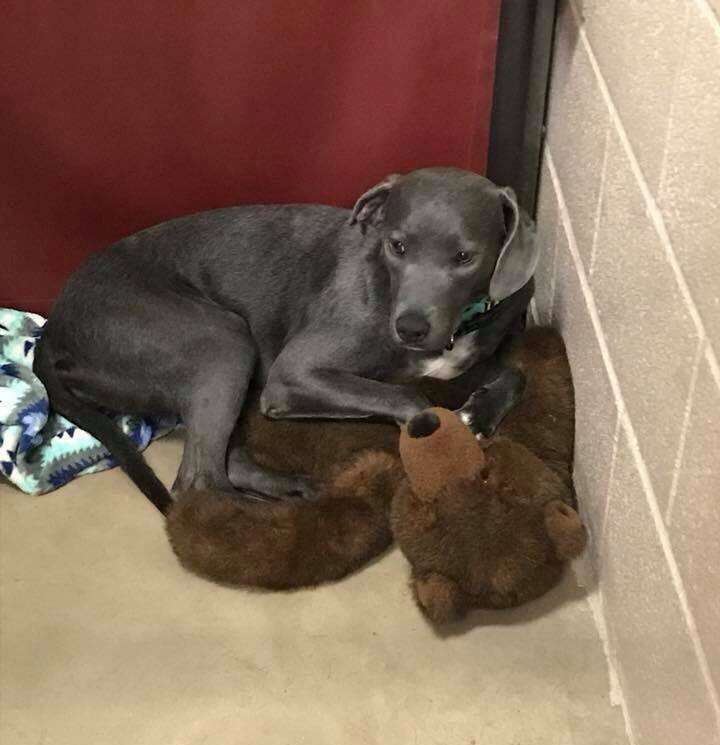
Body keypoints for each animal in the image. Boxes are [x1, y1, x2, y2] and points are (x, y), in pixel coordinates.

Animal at [35, 166, 540, 512]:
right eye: (397, 246)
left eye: (464, 257)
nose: (410, 328)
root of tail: (53, 330)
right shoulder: (293, 374)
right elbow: (410, 396)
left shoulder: (462, 361)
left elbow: (515, 373)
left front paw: (479, 413)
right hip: (221, 339)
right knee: (198, 481)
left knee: (226, 462)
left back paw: (297, 488)